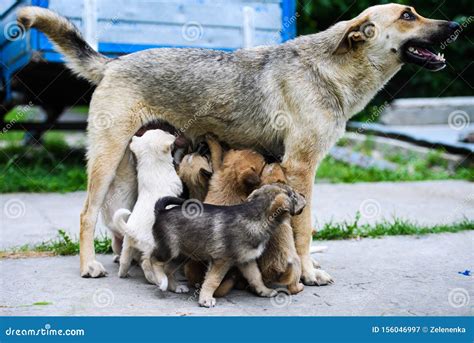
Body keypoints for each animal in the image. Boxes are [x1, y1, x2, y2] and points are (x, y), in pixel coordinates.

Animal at [113, 130, 185, 292]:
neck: (151, 162)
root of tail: (133, 231)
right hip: (153, 248)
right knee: (148, 265)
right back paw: (162, 283)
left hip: (127, 245)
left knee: (124, 261)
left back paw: (123, 274)